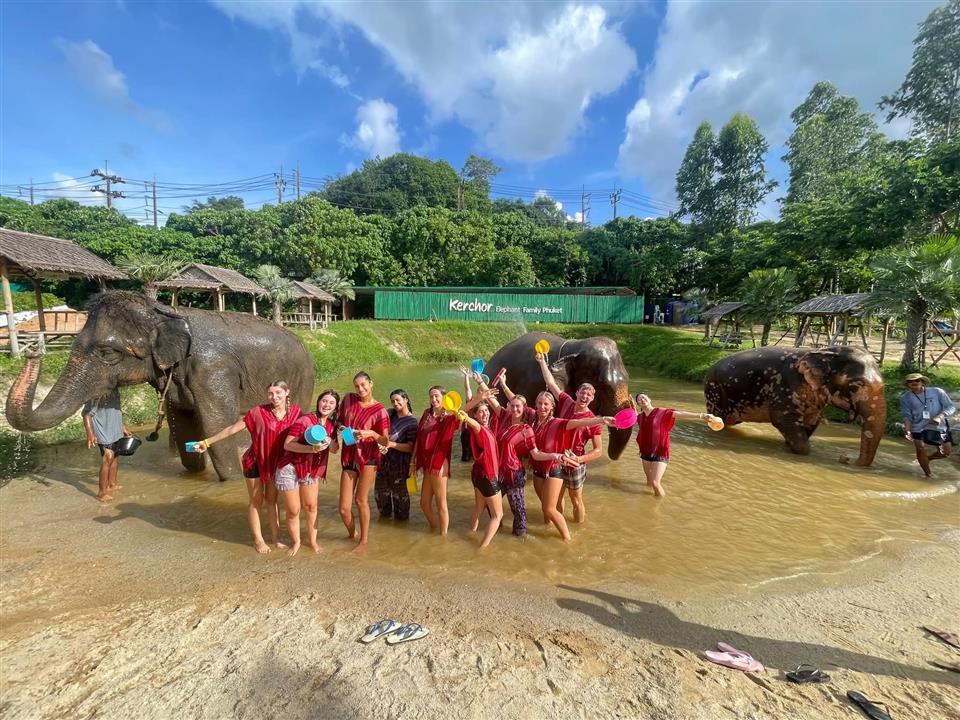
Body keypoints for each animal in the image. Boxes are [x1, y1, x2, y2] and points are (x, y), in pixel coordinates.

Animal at [6, 291, 315, 480]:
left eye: (107, 353)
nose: (33, 352)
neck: (165, 313)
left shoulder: (212, 370)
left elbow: (216, 429)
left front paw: (233, 480)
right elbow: (185, 428)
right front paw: (194, 473)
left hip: (302, 378)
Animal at [704, 346, 886, 466]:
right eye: (857, 384)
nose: (845, 458)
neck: (825, 351)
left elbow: (811, 422)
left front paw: (787, 446)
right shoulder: (785, 384)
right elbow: (783, 420)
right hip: (715, 393)